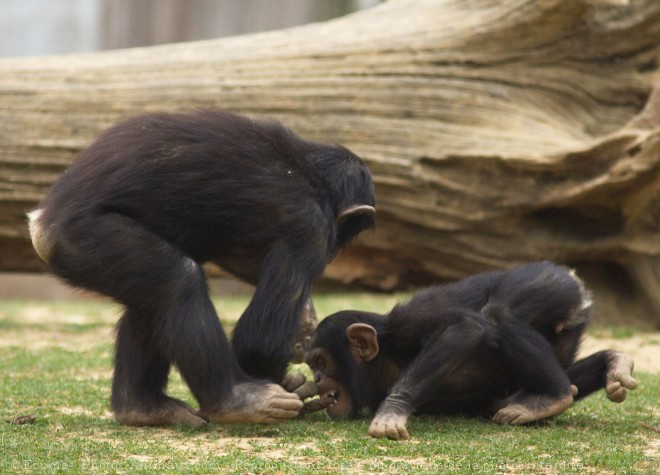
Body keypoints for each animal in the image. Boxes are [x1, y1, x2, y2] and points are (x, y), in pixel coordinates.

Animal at [28, 109, 374, 428]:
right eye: (342, 236)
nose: (334, 252)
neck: (313, 176)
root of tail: (39, 223)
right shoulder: (309, 227)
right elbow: (260, 337)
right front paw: (284, 382)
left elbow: (244, 259)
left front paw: (304, 321)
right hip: (86, 239)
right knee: (179, 281)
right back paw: (237, 401)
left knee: (149, 304)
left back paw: (142, 408)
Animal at [302, 262, 636, 440]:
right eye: (312, 365)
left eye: (320, 361)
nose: (317, 378)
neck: (382, 360)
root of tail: (574, 278)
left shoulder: (411, 322)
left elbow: (464, 328)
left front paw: (391, 411)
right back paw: (612, 363)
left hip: (548, 285)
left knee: (500, 314)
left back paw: (554, 395)